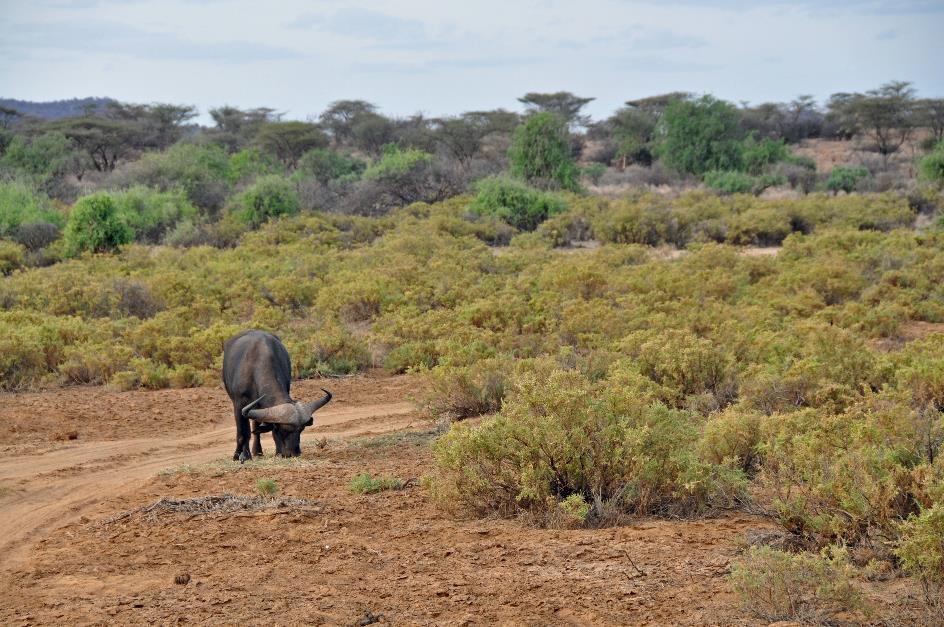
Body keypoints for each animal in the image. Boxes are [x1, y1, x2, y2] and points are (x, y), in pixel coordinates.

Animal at [224, 332, 334, 464]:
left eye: (301, 429)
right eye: (281, 430)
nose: (293, 453)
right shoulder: (239, 404)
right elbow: (243, 433)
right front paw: (242, 456)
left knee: (256, 428)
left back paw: (258, 452)